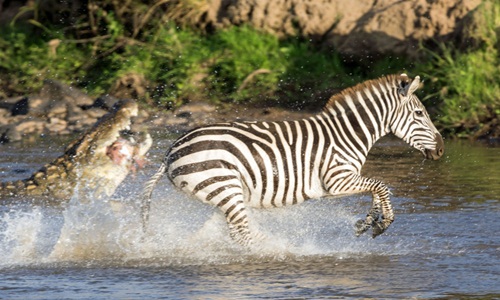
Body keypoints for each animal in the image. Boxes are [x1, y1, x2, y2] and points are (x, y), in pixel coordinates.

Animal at [139, 73, 444, 246]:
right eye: (420, 114)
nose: (441, 149)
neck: (346, 133)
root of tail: (171, 150)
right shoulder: (336, 179)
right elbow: (381, 185)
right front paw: (383, 222)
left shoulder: (345, 181)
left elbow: (376, 189)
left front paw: (368, 223)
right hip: (225, 188)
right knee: (243, 233)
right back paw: (281, 251)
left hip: (221, 194)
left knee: (233, 231)